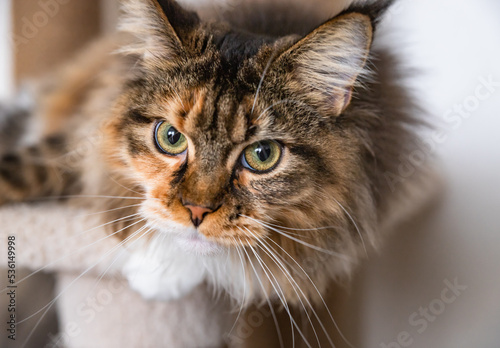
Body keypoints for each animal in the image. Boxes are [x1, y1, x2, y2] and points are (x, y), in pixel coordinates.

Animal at [0, 0, 422, 316]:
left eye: (262, 155)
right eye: (170, 138)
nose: (196, 211)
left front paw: (160, 276)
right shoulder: (76, 145)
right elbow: (19, 171)